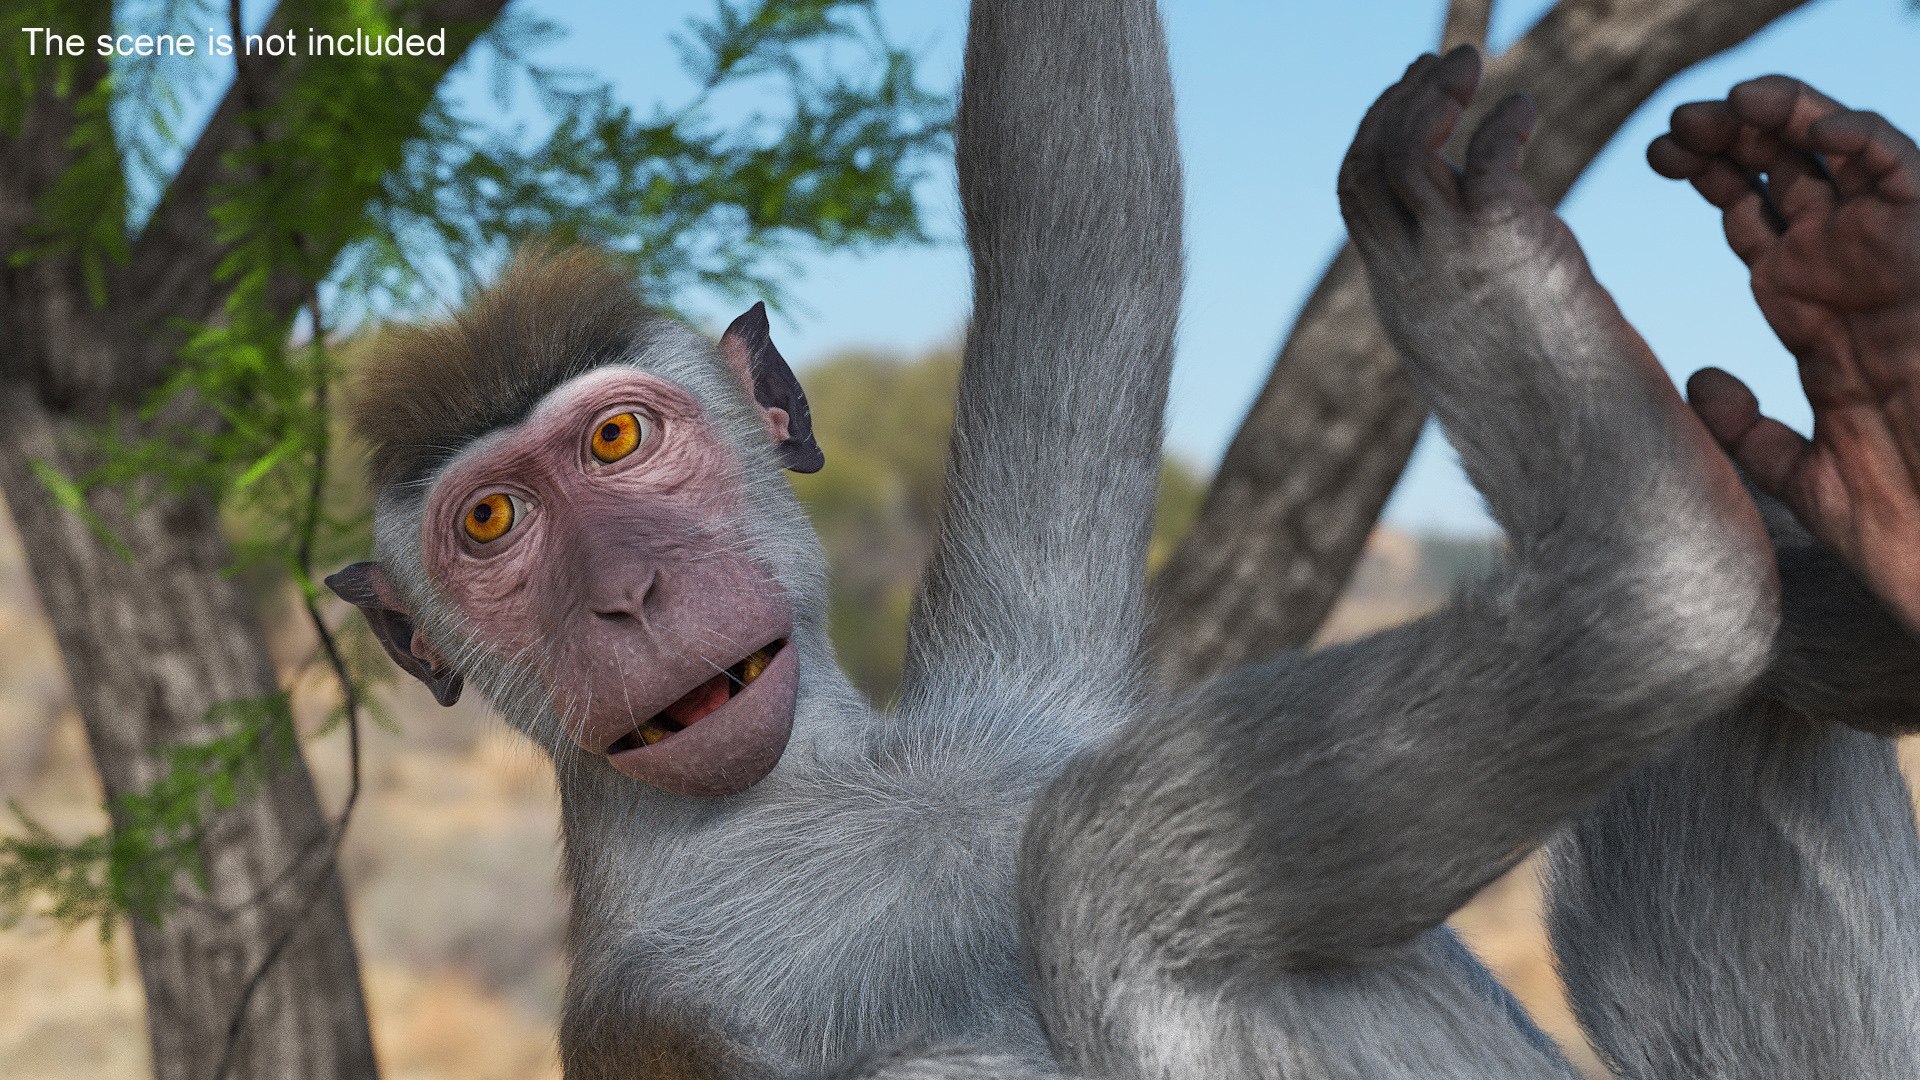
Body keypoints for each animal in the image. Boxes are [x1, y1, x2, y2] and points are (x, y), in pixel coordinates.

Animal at [324, 6, 1903, 1077]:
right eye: (490, 523)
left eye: (613, 442)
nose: (628, 597)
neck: (822, 792)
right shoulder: (664, 1012)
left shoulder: (1018, 672)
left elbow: (1073, 207)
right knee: (1094, 875)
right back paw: (1664, 556)